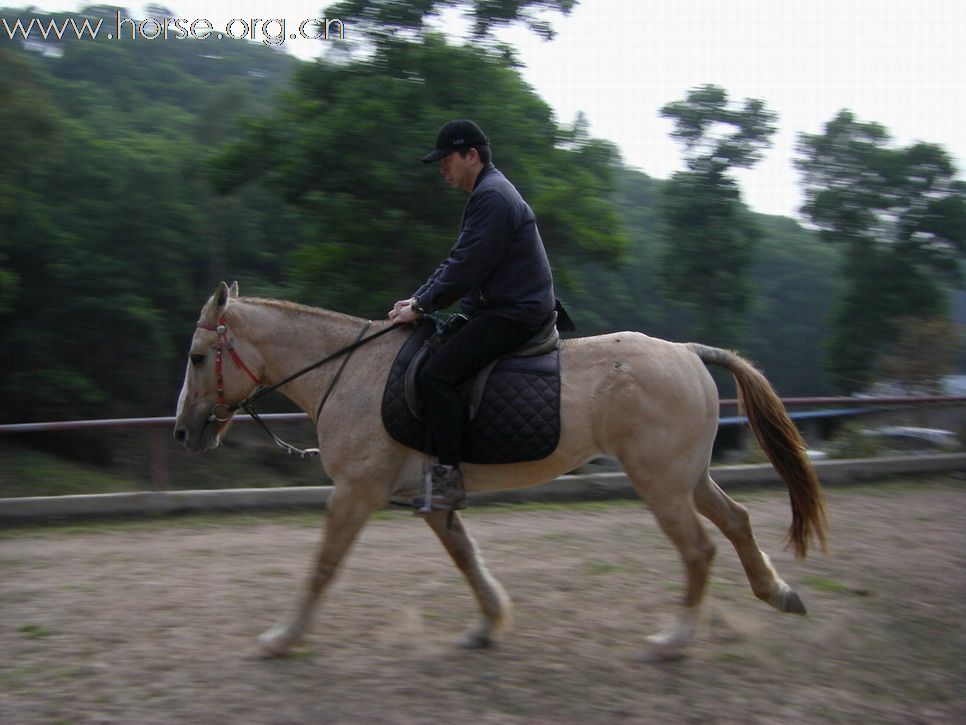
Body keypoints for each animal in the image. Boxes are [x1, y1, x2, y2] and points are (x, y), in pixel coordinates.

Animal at [176, 282, 832, 660]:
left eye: (199, 357)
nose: (184, 433)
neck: (351, 373)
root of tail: (689, 353)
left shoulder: (356, 492)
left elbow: (322, 567)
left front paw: (281, 637)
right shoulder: (431, 497)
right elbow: (466, 557)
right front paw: (488, 625)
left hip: (662, 484)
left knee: (700, 549)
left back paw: (673, 641)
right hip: (687, 478)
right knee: (738, 522)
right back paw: (779, 594)